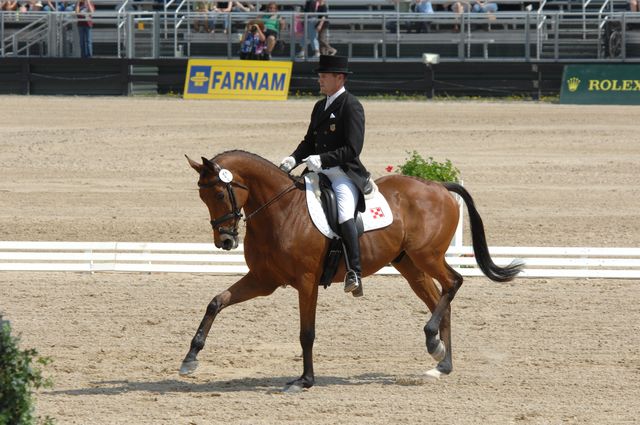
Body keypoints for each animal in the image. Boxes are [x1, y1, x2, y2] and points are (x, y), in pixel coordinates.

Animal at [180, 149, 520, 390]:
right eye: (201, 196)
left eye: (220, 193)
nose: (225, 240)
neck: (281, 211)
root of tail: (437, 186)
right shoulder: (263, 280)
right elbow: (216, 302)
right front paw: (190, 359)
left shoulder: (306, 281)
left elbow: (306, 332)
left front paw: (305, 380)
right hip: (411, 265)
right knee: (439, 299)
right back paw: (440, 362)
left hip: (428, 256)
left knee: (453, 283)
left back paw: (432, 340)